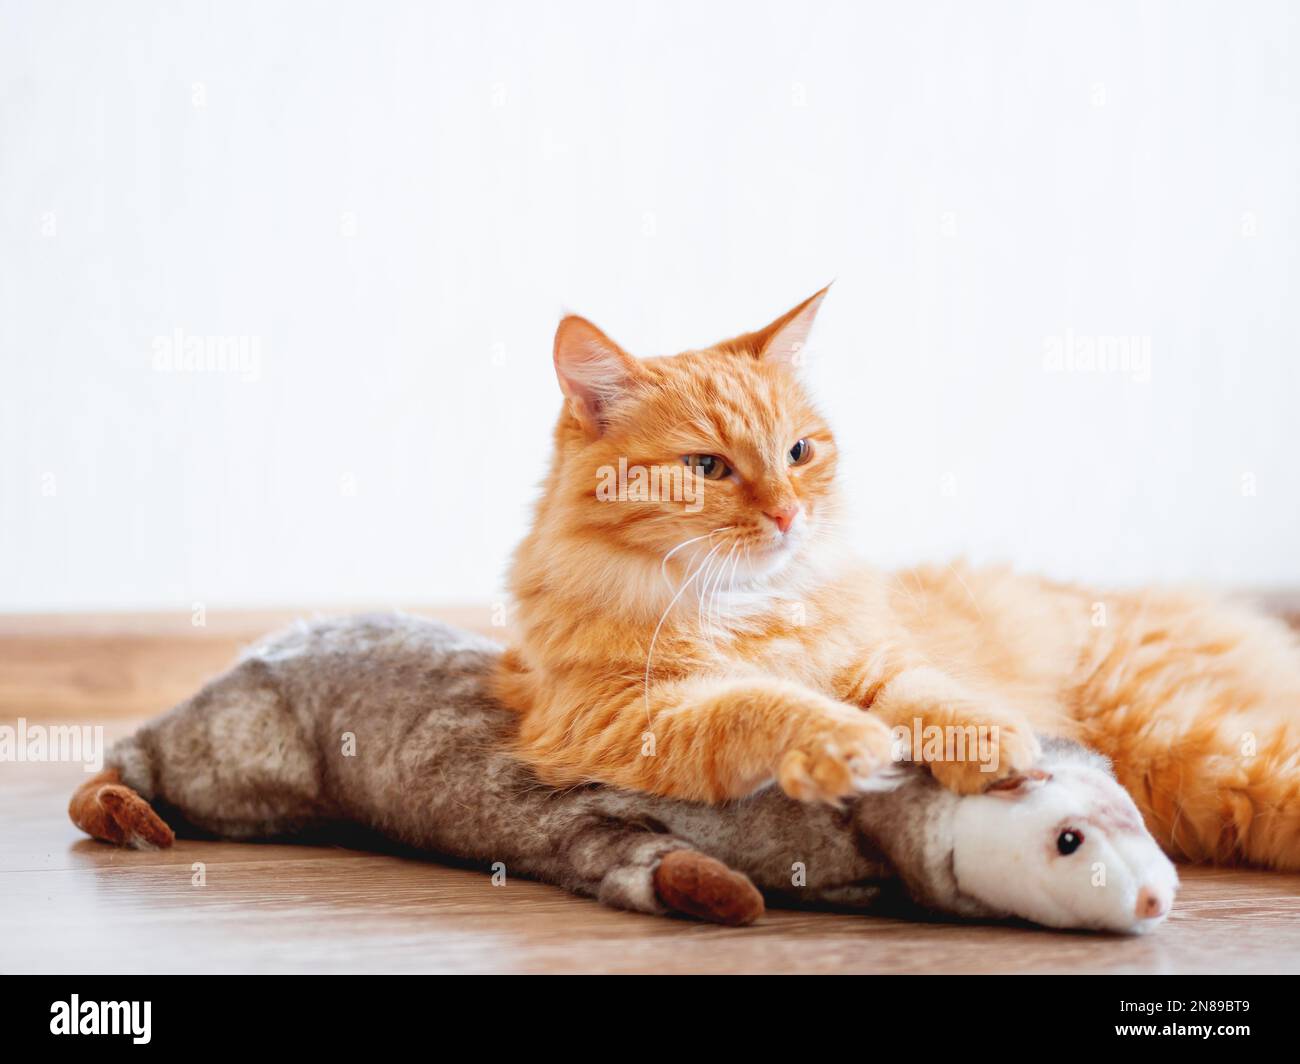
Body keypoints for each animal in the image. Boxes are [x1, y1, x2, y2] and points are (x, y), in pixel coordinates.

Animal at [496, 286, 1300, 868]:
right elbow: (761, 706)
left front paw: (991, 745)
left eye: (798, 452)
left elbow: (933, 697)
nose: (788, 514)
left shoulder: (882, 659)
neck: (746, 606)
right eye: (706, 467)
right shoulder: (626, 718)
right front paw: (845, 746)